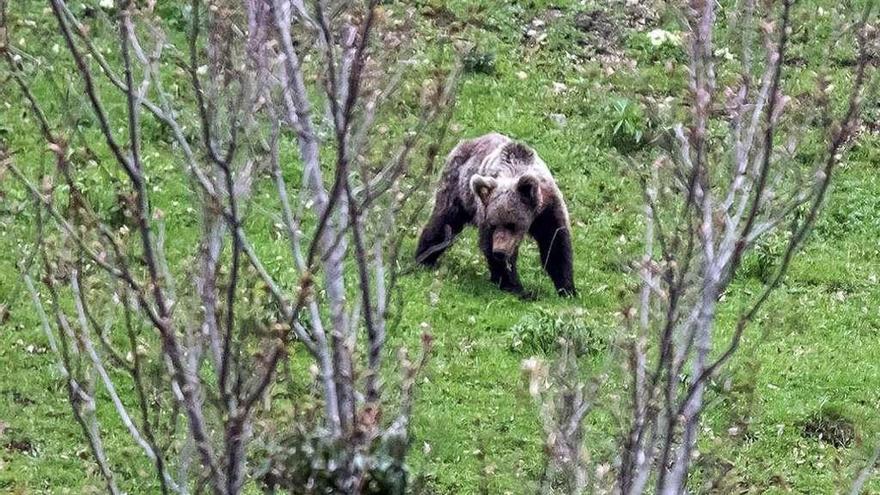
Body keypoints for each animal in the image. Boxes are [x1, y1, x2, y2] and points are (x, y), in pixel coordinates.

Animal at [414, 133, 576, 298]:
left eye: (512, 224)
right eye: (494, 224)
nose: (499, 251)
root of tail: (467, 141)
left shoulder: (547, 210)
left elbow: (555, 245)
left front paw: (567, 289)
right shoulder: (485, 211)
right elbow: (489, 245)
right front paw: (517, 287)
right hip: (456, 187)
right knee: (444, 222)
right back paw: (424, 258)